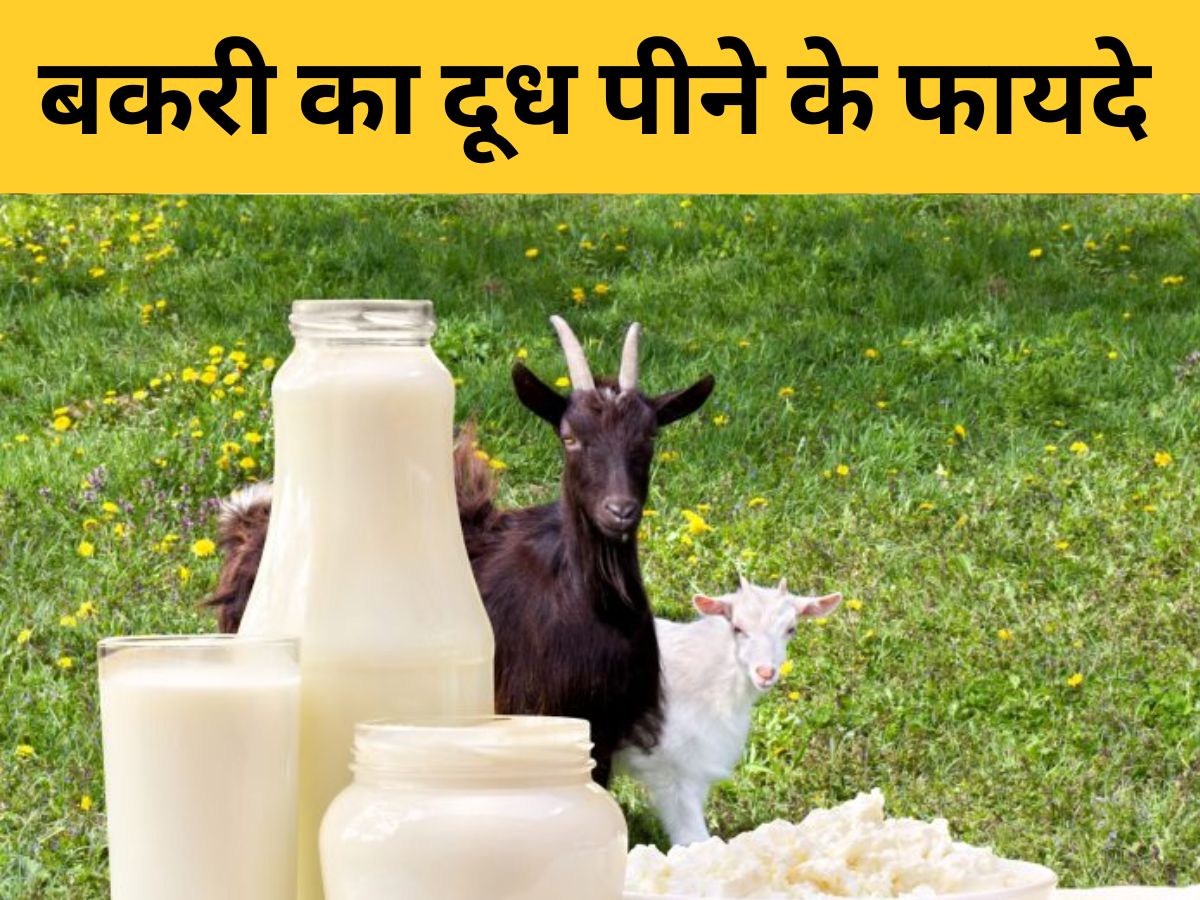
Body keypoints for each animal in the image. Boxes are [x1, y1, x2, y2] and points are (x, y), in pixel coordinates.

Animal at [208, 316, 714, 785]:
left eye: (649, 436)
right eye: (570, 436)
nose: (620, 511)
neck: (591, 600)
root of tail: (248, 520)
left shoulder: (603, 723)